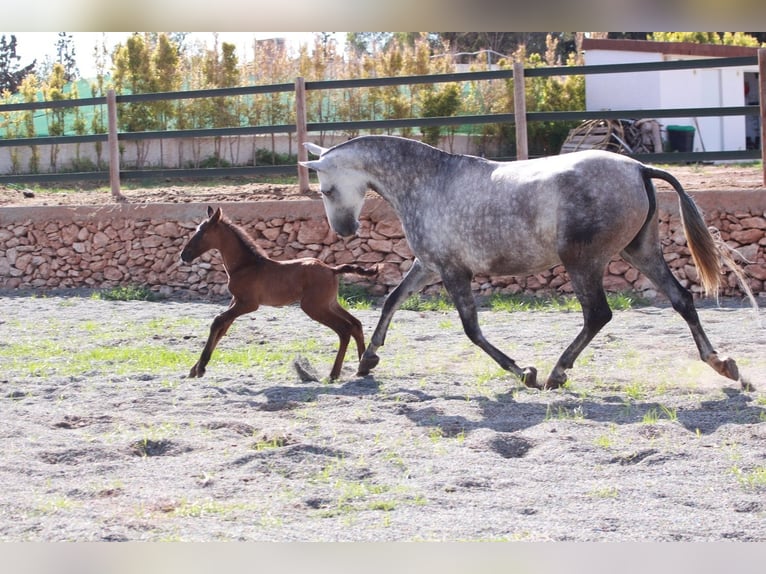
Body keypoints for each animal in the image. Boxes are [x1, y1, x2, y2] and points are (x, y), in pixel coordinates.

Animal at [181, 208, 378, 382]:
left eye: (202, 233)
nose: (184, 255)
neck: (246, 266)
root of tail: (332, 269)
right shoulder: (235, 301)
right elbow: (223, 328)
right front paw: (193, 369)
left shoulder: (248, 304)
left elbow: (217, 321)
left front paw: (201, 367)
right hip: (329, 303)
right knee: (356, 324)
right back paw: (363, 367)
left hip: (314, 307)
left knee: (344, 329)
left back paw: (335, 373)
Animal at [304, 136, 748, 392]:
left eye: (326, 189)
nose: (344, 230)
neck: (428, 182)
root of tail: (639, 167)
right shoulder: (429, 265)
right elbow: (392, 301)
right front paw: (367, 361)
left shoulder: (453, 272)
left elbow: (471, 330)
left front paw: (523, 372)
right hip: (640, 252)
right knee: (682, 300)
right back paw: (724, 365)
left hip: (583, 262)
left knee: (598, 315)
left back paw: (555, 373)